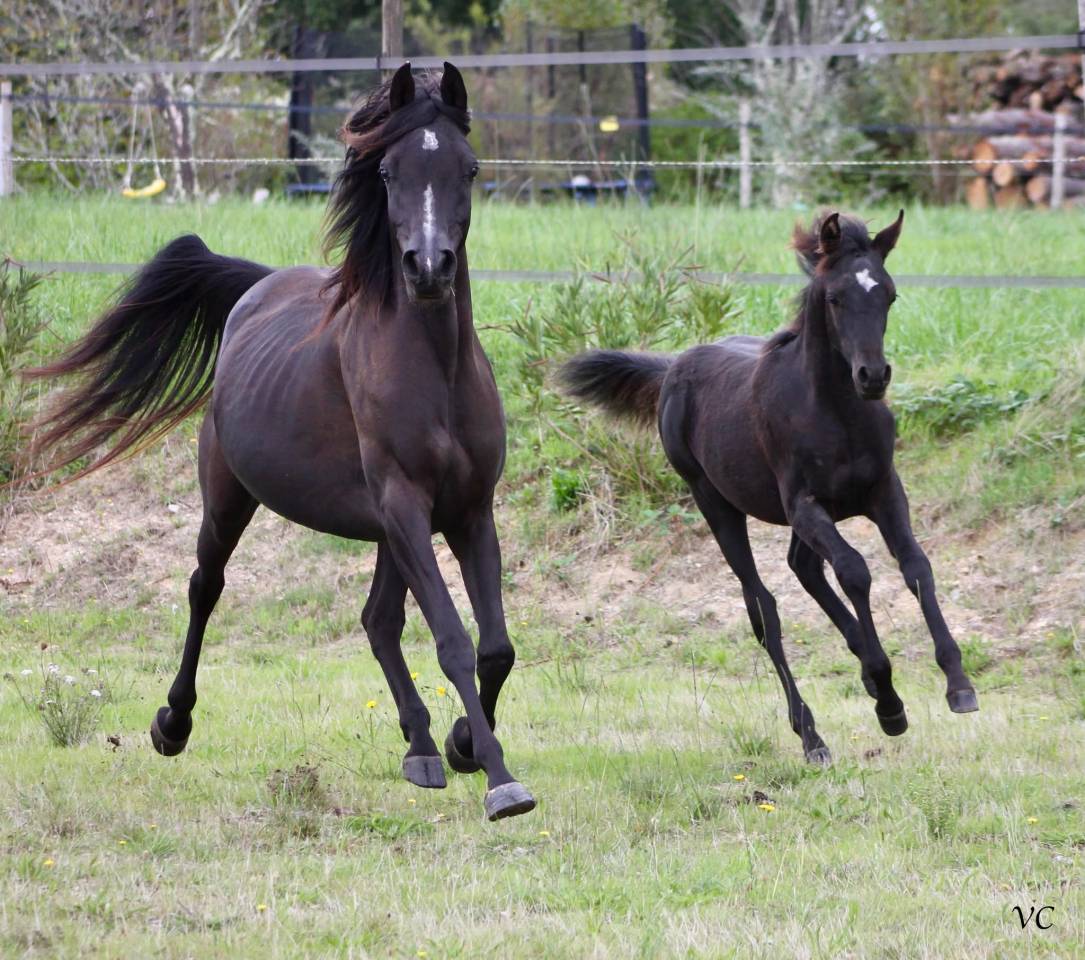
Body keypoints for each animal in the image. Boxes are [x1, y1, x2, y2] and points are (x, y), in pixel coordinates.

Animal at [23, 63, 535, 821]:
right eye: (388, 171)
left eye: (468, 168)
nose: (428, 268)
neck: (434, 370)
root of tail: (257, 288)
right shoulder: (408, 508)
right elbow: (453, 639)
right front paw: (499, 777)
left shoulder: (468, 511)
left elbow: (495, 646)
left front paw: (464, 744)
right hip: (232, 496)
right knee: (206, 587)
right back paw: (172, 724)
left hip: (386, 530)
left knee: (378, 621)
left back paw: (419, 746)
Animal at [559, 211, 978, 765]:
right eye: (834, 298)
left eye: (888, 294)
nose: (873, 376)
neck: (836, 413)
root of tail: (672, 368)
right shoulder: (804, 505)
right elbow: (855, 571)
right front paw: (888, 699)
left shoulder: (883, 492)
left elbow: (916, 566)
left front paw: (957, 684)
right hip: (715, 502)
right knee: (764, 609)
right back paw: (813, 734)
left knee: (802, 568)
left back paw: (863, 675)